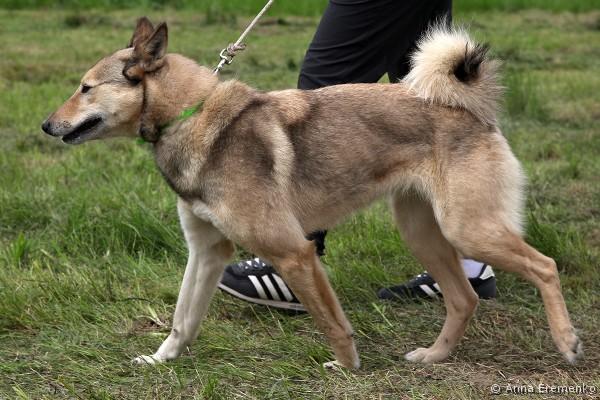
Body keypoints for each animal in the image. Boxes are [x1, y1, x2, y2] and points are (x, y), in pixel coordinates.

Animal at [42, 17, 582, 369]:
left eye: (86, 88)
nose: (47, 125)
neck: (190, 116)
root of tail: (468, 106)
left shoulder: (294, 254)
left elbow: (331, 322)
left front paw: (347, 366)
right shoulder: (206, 252)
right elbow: (182, 319)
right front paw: (160, 360)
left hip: (467, 229)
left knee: (544, 267)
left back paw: (567, 342)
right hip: (422, 231)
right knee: (464, 298)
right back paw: (434, 355)